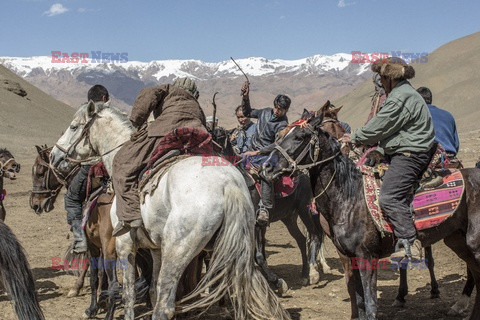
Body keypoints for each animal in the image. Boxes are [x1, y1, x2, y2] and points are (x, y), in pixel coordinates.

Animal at [49, 102, 288, 320]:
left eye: (73, 126)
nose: (53, 156)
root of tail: (229, 184)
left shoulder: (125, 245)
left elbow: (128, 294)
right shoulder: (155, 249)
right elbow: (152, 291)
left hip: (178, 249)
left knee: (165, 305)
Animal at [264, 112, 480, 320]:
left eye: (299, 137)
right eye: (281, 135)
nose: (268, 167)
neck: (349, 198)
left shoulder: (367, 256)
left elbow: (370, 304)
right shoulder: (348, 256)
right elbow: (358, 299)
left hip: (474, 243)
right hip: (457, 240)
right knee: (475, 272)